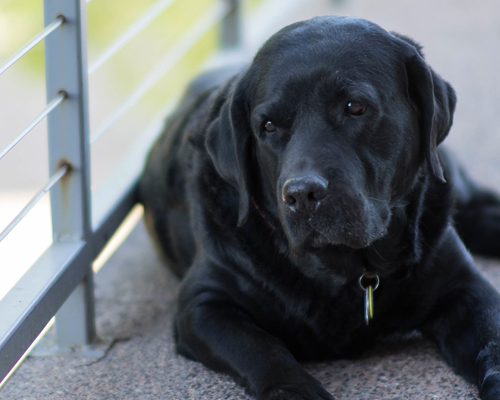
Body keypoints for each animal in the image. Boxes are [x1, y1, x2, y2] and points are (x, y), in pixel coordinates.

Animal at [140, 15, 500, 400]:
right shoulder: (203, 303)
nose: (302, 194)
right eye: (268, 126)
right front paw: (296, 390)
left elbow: (492, 337)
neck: (349, 272)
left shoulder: (462, 286)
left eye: (354, 107)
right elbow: (260, 347)